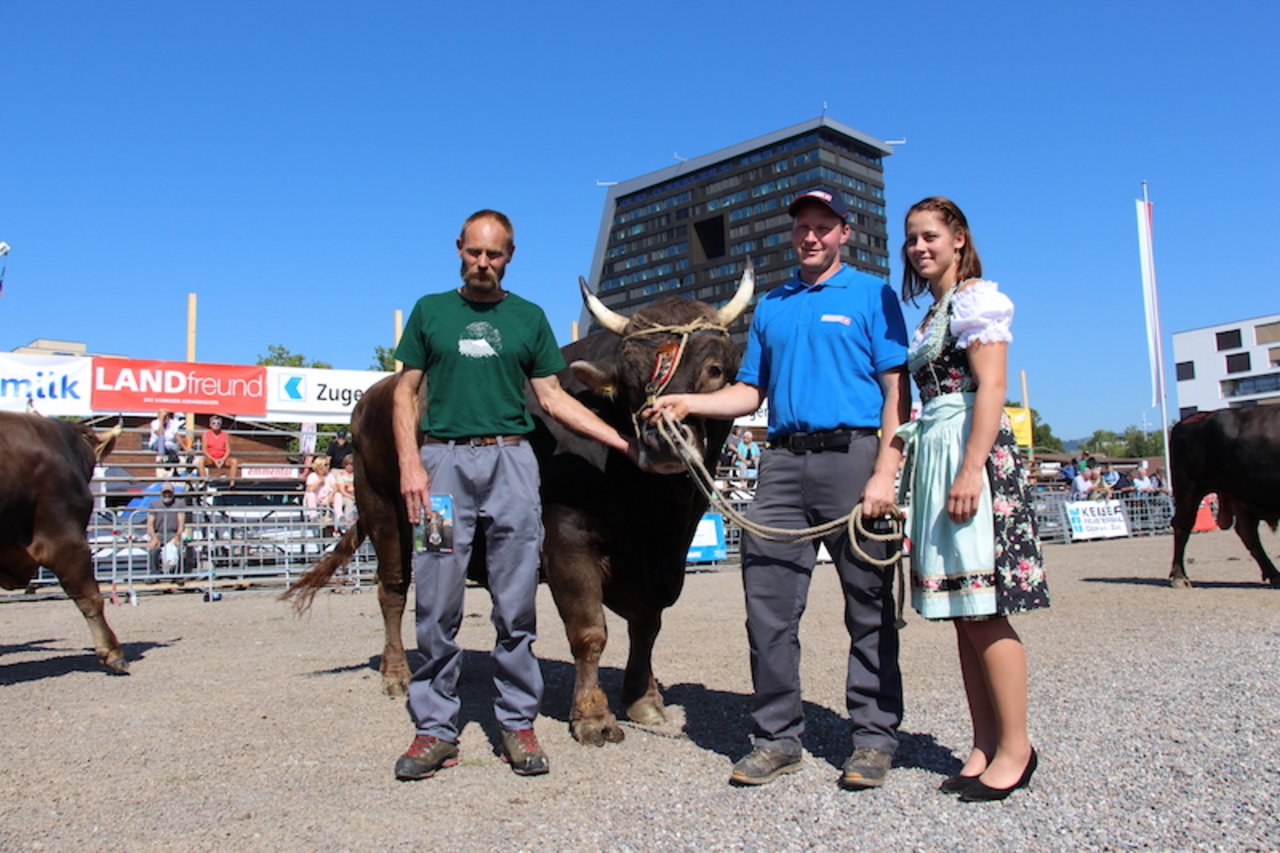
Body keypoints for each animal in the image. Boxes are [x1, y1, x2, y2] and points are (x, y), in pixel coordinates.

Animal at [285, 268, 752, 742]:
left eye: (714, 370)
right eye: (629, 379)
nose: (661, 443)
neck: (654, 513)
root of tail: (377, 393)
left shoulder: (661, 561)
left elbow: (647, 623)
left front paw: (643, 698)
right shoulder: (566, 539)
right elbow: (589, 631)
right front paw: (593, 715)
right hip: (383, 509)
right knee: (393, 590)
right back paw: (396, 673)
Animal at [1172, 404, 1280, 584]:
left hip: (1238, 496)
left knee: (1247, 533)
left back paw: (1273, 574)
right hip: (1189, 490)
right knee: (1182, 526)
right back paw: (1179, 576)